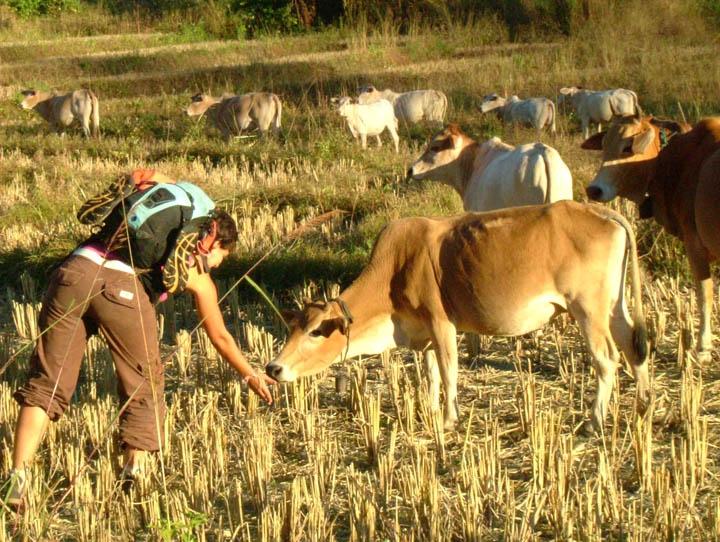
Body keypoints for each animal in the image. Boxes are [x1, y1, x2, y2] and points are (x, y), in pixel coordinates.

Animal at [268, 202, 648, 436]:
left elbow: (449, 372)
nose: (273, 368)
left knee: (607, 359)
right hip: (613, 307)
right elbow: (431, 376)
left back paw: (595, 421)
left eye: (315, 331)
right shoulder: (424, 337)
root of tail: (598, 210)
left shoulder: (442, 323)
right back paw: (643, 404)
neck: (394, 270)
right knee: (632, 346)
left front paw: (450, 419)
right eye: (293, 327)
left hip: (588, 309)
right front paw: (431, 411)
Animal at [584, 115, 720, 362]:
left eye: (628, 147)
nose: (594, 190)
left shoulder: (694, 244)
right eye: (604, 145)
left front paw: (703, 348)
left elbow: (704, 294)